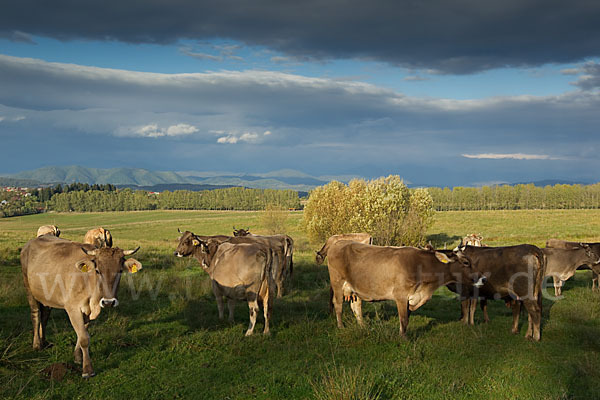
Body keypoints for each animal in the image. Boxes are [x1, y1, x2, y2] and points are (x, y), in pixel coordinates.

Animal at [20, 236, 143, 376]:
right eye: (97, 271)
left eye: (120, 271)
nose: (108, 302)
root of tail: (31, 242)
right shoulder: (73, 308)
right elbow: (84, 337)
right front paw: (87, 370)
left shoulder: (88, 312)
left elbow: (82, 333)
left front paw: (78, 357)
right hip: (29, 289)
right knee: (36, 314)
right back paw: (37, 344)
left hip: (46, 296)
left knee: (45, 315)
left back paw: (44, 341)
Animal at [324, 241, 482, 338]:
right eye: (466, 262)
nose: (482, 278)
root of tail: (338, 243)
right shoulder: (400, 296)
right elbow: (404, 319)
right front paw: (403, 338)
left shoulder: (411, 298)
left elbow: (407, 318)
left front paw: (403, 334)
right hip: (337, 283)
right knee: (338, 305)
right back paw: (341, 326)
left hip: (354, 289)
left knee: (356, 306)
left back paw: (362, 326)